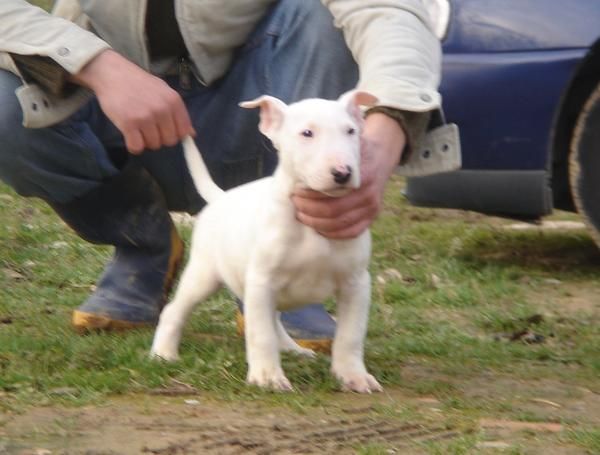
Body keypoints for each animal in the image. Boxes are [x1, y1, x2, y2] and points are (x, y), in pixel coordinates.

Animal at [152, 91, 382, 394]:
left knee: (272, 319)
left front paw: (354, 376)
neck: (309, 225)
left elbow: (350, 335)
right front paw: (268, 377)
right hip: (204, 275)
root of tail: (221, 197)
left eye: (351, 131)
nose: (342, 173)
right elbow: (260, 334)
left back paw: (292, 348)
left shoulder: (356, 284)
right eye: (307, 133)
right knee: (175, 310)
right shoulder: (262, 280)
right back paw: (163, 353)